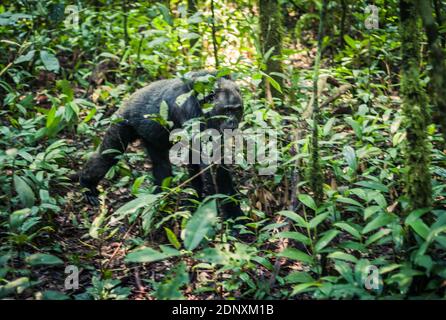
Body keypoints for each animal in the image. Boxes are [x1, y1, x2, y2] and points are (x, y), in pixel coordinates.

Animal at [75, 70, 246, 218]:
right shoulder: (189, 110)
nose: (232, 121)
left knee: (161, 165)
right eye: (227, 110)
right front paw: (209, 209)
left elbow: (217, 164)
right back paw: (87, 186)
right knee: (108, 155)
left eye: (237, 110)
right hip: (122, 120)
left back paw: (160, 199)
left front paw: (235, 214)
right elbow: (205, 163)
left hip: (150, 135)